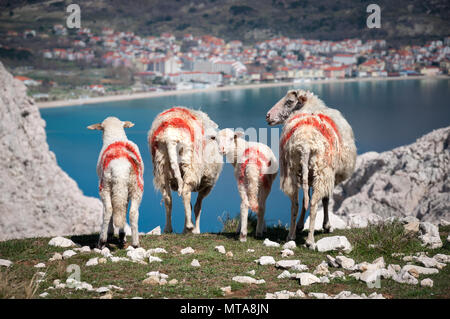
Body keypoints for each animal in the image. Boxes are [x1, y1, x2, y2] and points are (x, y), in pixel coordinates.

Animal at [88, 116, 144, 249]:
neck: (115, 135)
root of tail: (120, 169)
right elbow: (122, 209)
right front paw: (122, 235)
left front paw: (113, 233)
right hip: (135, 186)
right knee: (132, 212)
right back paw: (135, 243)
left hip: (105, 185)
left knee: (108, 209)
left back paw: (102, 241)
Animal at [148, 106, 223, 234]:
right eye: (213, 138)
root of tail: (170, 137)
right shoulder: (207, 185)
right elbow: (197, 207)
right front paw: (196, 230)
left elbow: (192, 205)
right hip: (190, 165)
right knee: (185, 192)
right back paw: (189, 226)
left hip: (161, 166)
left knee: (168, 198)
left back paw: (168, 228)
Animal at [266, 89, 356, 248]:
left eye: (289, 102)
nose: (268, 116)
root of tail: (305, 145)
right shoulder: (329, 175)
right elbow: (325, 199)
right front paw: (326, 226)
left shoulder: (307, 175)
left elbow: (304, 201)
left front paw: (300, 226)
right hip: (320, 171)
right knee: (314, 203)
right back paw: (310, 241)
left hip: (293, 172)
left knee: (295, 203)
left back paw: (291, 235)